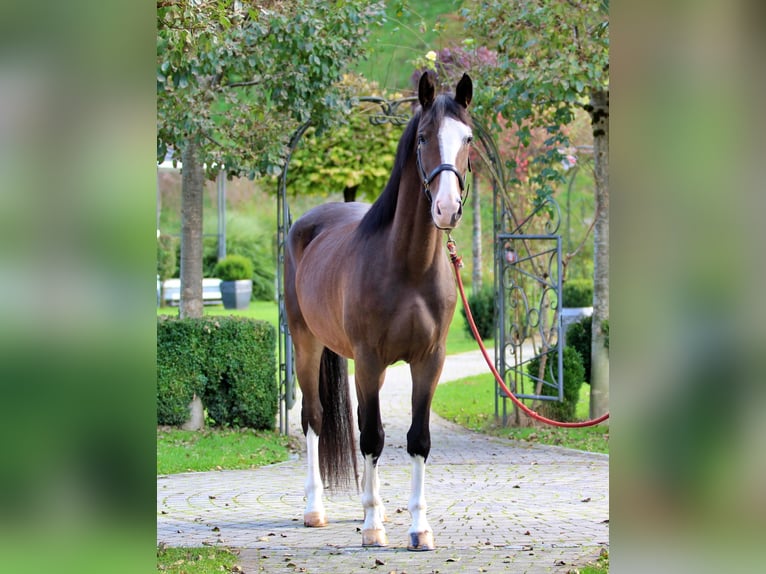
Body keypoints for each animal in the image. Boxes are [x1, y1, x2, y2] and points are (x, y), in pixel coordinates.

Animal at [284, 71, 473, 551]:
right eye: (423, 137)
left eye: (468, 138)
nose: (447, 208)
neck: (408, 266)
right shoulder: (368, 360)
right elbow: (371, 437)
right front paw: (372, 527)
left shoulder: (429, 361)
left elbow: (417, 439)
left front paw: (419, 528)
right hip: (306, 343)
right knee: (314, 419)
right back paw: (317, 509)